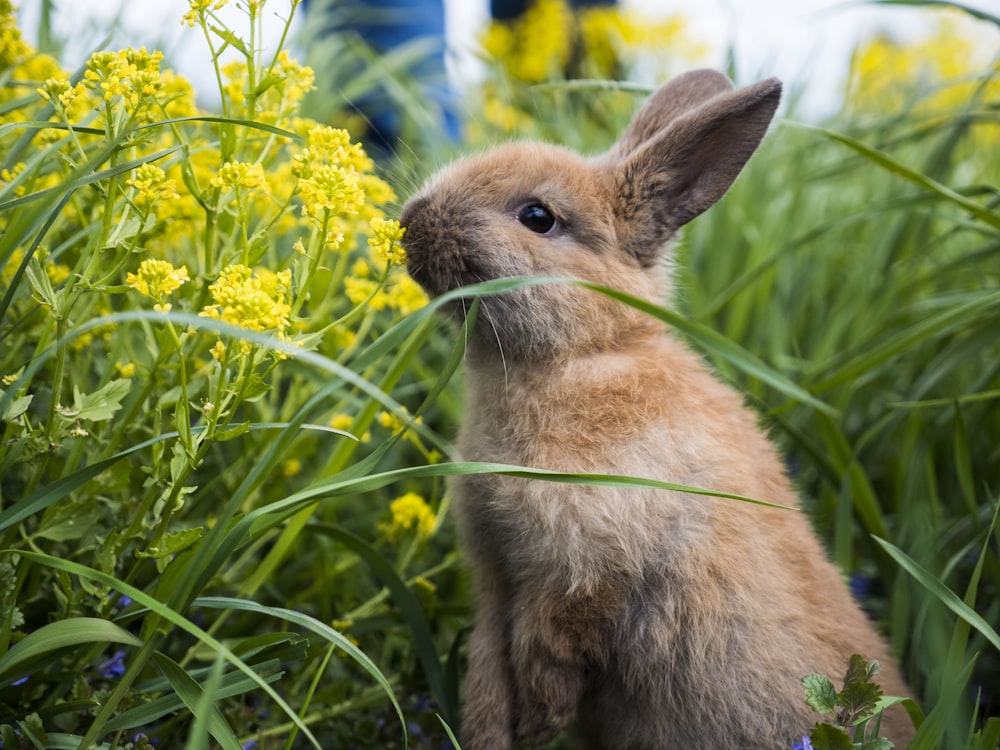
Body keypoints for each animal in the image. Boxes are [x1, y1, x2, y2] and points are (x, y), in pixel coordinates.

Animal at [398, 70, 916, 750]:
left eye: (538, 217)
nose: (410, 222)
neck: (586, 355)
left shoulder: (582, 569)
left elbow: (551, 647)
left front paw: (540, 723)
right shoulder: (496, 577)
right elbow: (492, 669)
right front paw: (495, 731)